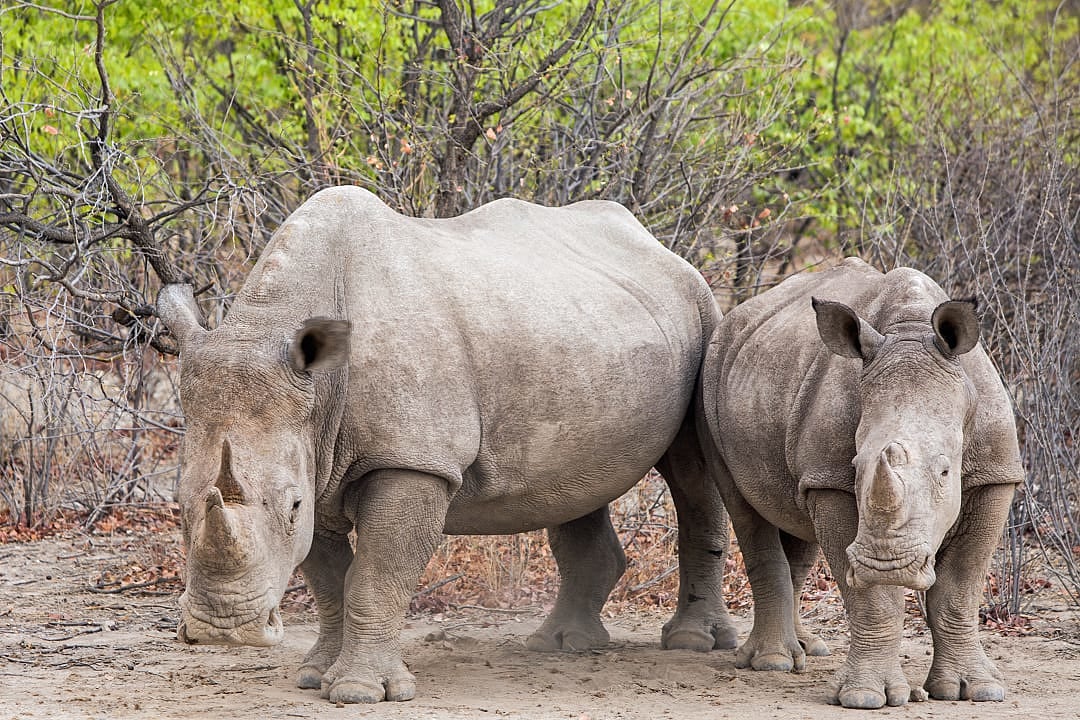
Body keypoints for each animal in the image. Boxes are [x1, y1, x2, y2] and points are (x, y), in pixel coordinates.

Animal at [157, 186, 737, 704]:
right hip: (580, 335)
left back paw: (691, 642)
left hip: (702, 314)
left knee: (692, 469)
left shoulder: (412, 461)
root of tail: (657, 245)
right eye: (178, 505)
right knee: (576, 483)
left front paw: (359, 691)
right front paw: (314, 675)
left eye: (292, 505)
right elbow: (328, 581)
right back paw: (561, 645)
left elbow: (375, 577)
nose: (223, 630)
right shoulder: (315, 453)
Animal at [698, 257, 1022, 709]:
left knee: (797, 521)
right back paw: (773, 662)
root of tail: (735, 316)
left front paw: (975, 690)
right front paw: (867, 697)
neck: (910, 332)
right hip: (710, 374)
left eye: (945, 472)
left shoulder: (995, 474)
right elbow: (874, 599)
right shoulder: (831, 480)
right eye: (856, 466)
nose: (889, 565)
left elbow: (959, 587)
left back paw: (808, 649)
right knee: (745, 509)